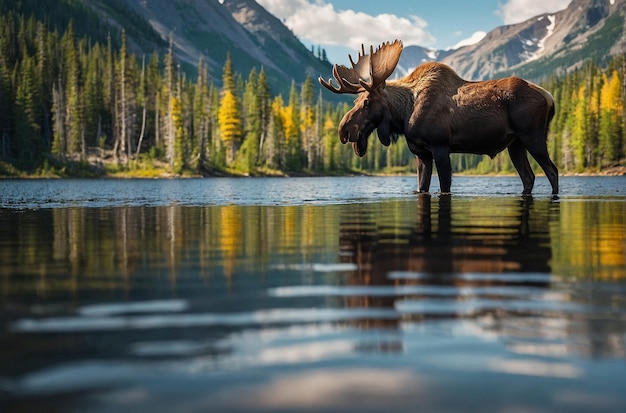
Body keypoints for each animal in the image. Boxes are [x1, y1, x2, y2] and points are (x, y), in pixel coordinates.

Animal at [320, 39, 560, 194]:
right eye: (355, 101)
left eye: (367, 102)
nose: (343, 129)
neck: (403, 116)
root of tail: (550, 97)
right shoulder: (422, 154)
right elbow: (421, 188)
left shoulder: (441, 147)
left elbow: (445, 187)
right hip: (515, 144)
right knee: (529, 178)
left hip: (533, 137)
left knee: (552, 171)